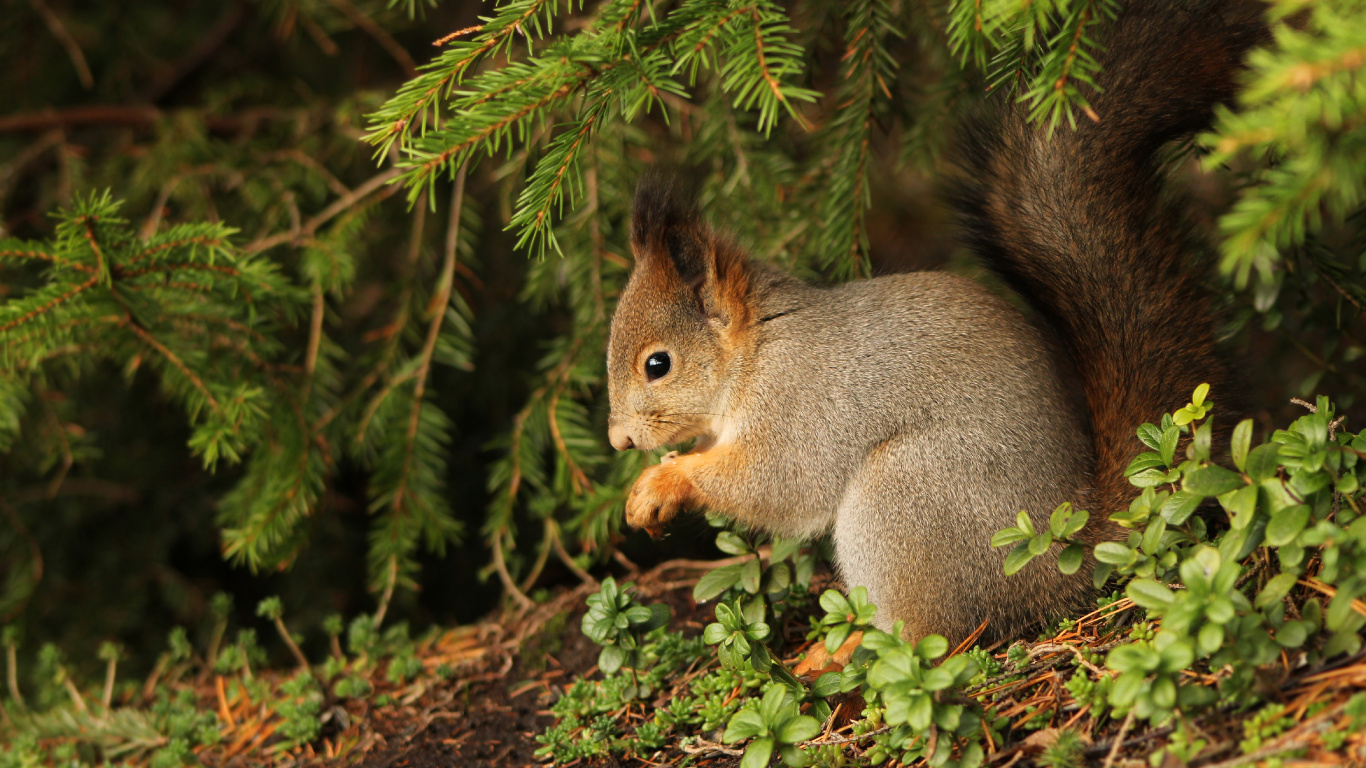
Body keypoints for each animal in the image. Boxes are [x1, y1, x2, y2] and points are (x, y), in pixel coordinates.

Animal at [605, 0, 1268, 645]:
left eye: (658, 364)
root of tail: (1059, 553)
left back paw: (836, 657)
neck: (758, 352)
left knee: (932, 636)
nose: (619, 443)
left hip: (905, 499)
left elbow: (775, 482)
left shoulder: (801, 406)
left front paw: (664, 484)